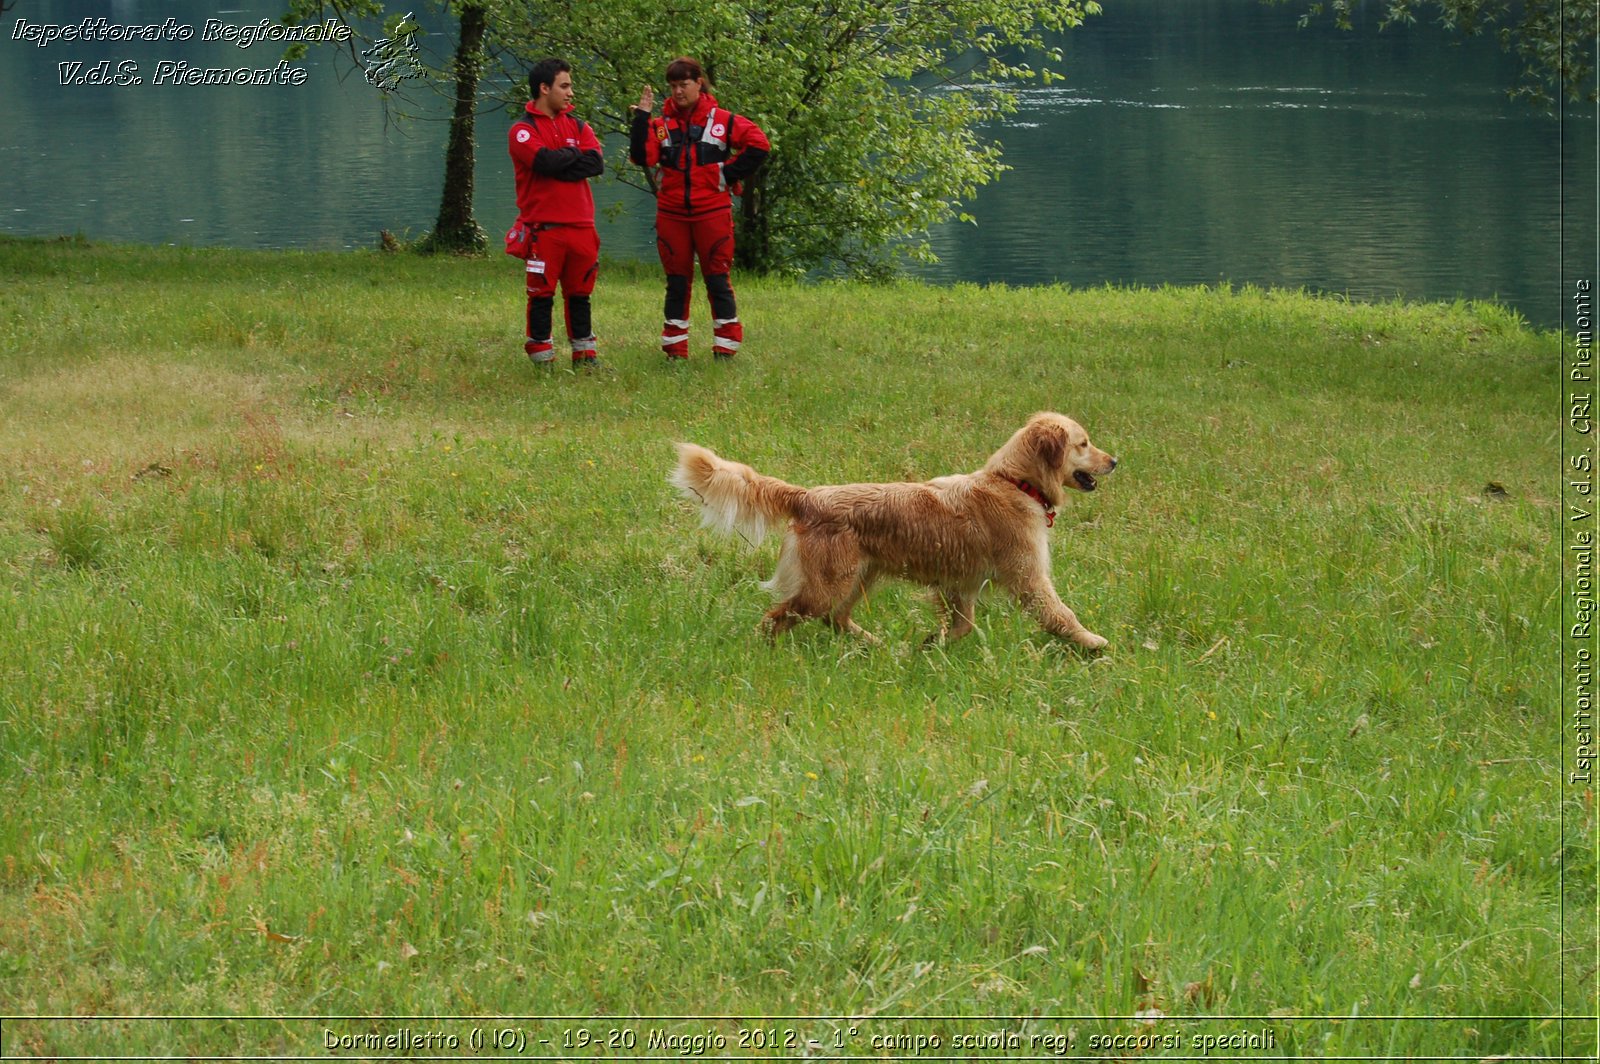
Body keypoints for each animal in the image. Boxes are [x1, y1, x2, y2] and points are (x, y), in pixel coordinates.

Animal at [668, 409, 1120, 646]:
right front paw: (1092, 644)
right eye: (1083, 443)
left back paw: (874, 644)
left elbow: (962, 624)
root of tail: (807, 496)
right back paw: (765, 647)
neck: (1015, 482)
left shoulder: (960, 584)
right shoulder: (1029, 577)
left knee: (834, 618)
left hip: (860, 576)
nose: (1115, 460)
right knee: (779, 615)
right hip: (829, 584)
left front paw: (934, 646)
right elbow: (1060, 614)